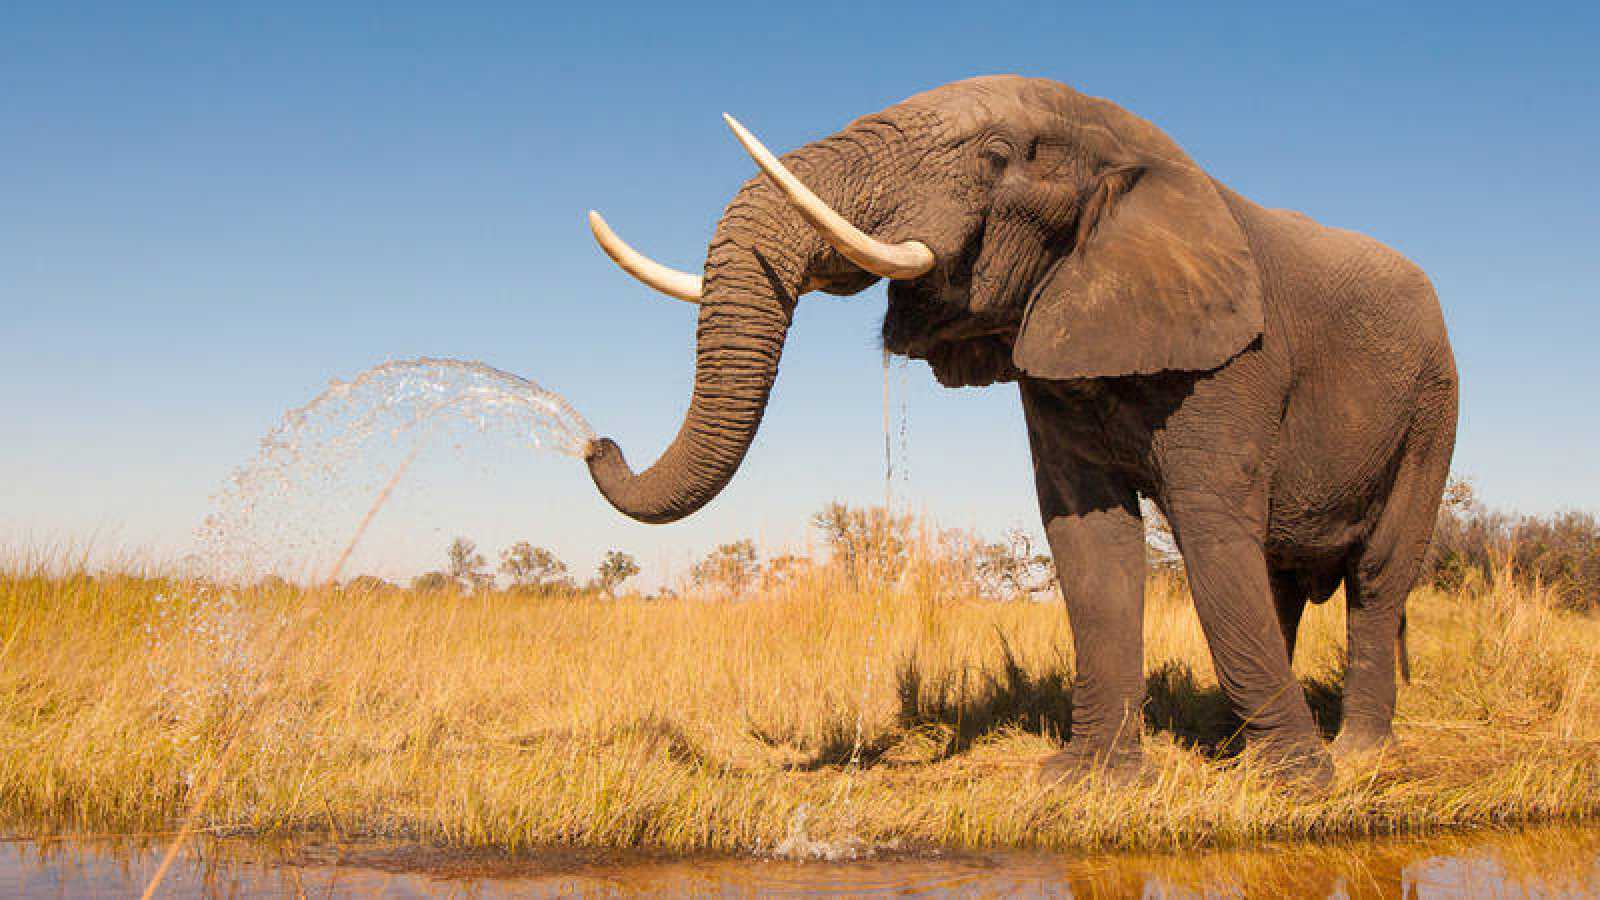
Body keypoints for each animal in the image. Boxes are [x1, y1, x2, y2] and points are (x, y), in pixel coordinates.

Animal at [581, 76, 1458, 785]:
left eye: (998, 154)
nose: (597, 443)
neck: (1131, 147)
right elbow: (1090, 538)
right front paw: (1086, 782)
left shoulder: (1240, 358)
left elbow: (1211, 531)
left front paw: (1297, 787)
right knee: (1279, 577)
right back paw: (1247, 743)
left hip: (1433, 408)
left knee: (1376, 574)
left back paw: (1353, 755)